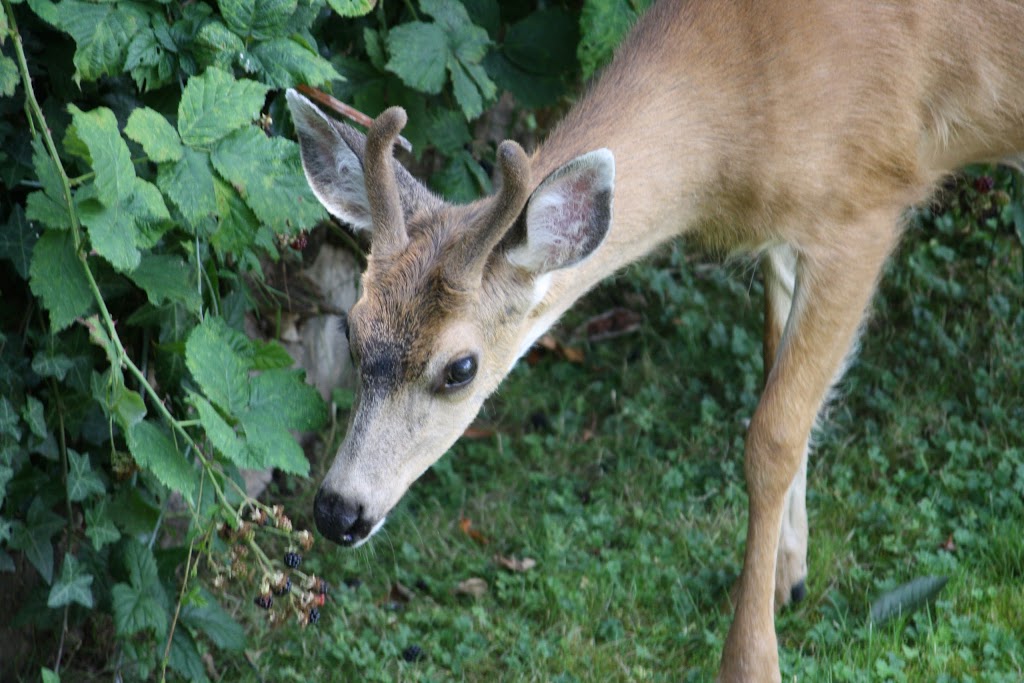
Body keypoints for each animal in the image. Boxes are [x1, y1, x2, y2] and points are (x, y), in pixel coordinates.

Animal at [284, 1, 1024, 679]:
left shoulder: (864, 208)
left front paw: (752, 658)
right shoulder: (792, 229)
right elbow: (787, 382)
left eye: (460, 367)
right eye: (351, 330)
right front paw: (791, 575)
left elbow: (773, 435)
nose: (338, 510)